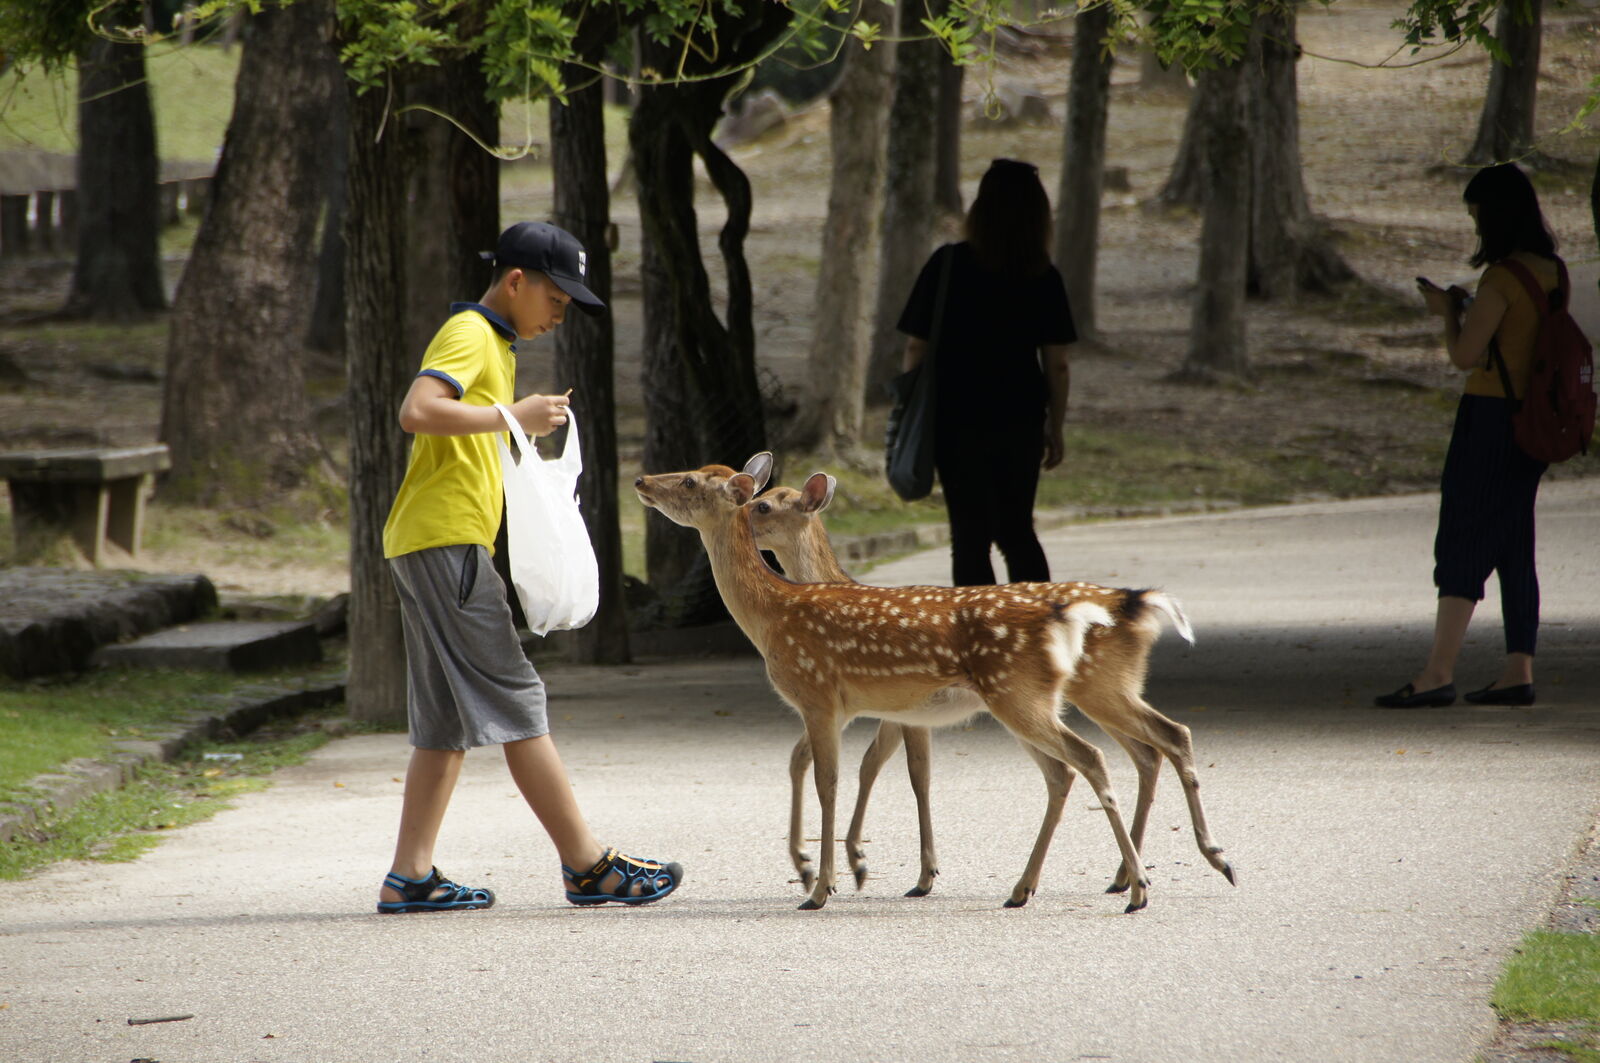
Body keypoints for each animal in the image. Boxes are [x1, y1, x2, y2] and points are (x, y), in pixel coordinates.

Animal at [635, 453, 1155, 912]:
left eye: (690, 481)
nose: (640, 480)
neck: (771, 616)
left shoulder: (818, 694)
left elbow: (830, 781)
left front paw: (821, 888)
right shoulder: (848, 709)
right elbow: (843, 770)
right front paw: (835, 873)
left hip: (1018, 694)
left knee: (1093, 756)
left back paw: (1135, 888)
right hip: (1024, 699)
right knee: (1068, 769)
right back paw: (1025, 889)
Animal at [747, 471, 1236, 901]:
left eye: (764, 504)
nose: (743, 522)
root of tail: (1136, 603)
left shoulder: (888, 708)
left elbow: (891, 770)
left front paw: (871, 865)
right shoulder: (892, 710)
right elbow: (871, 765)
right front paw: (867, 866)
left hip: (1094, 688)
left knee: (1160, 740)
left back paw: (1199, 860)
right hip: (1103, 689)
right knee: (1150, 750)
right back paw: (1125, 875)